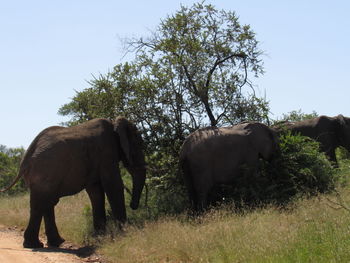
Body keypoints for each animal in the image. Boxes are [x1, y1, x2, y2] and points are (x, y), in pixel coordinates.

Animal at [0, 117, 146, 250]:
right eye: (139, 144)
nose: (133, 205)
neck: (114, 123)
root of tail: (25, 158)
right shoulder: (106, 152)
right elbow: (113, 185)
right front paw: (124, 235)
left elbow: (96, 192)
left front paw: (100, 237)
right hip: (46, 171)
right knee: (42, 203)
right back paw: (36, 245)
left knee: (47, 202)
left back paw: (54, 243)